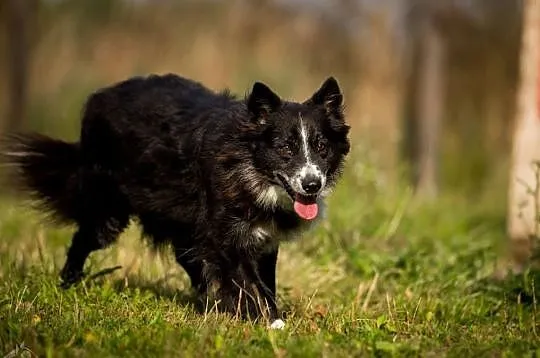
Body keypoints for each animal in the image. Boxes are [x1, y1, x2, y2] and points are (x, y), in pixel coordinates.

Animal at [2, 74, 350, 328]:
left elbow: (264, 283)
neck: (247, 165)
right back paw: (67, 284)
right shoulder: (227, 237)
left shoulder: (262, 240)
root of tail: (100, 96)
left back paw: (209, 303)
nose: (312, 184)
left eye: (321, 147)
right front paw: (271, 325)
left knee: (188, 257)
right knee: (84, 238)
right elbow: (250, 283)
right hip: (109, 208)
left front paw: (258, 317)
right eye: (284, 148)